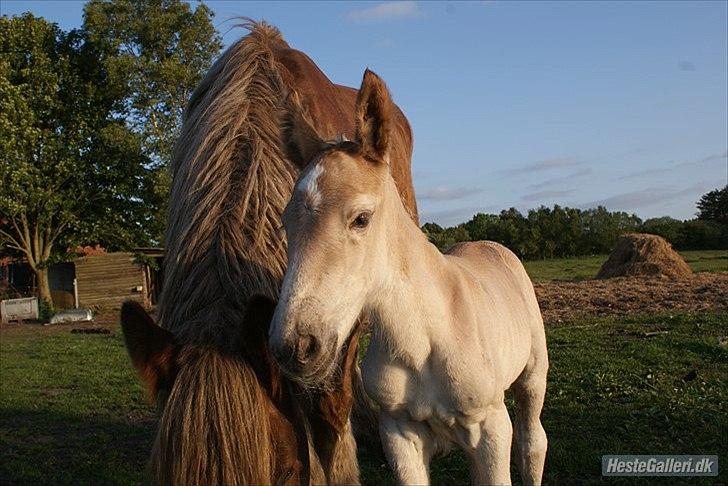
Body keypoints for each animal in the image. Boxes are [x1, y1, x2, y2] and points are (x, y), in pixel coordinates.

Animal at [268, 69, 544, 486]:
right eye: (286, 223)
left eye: (361, 218)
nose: (296, 346)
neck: (424, 337)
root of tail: (490, 245)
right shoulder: (398, 432)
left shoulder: (492, 427)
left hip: (532, 379)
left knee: (533, 444)